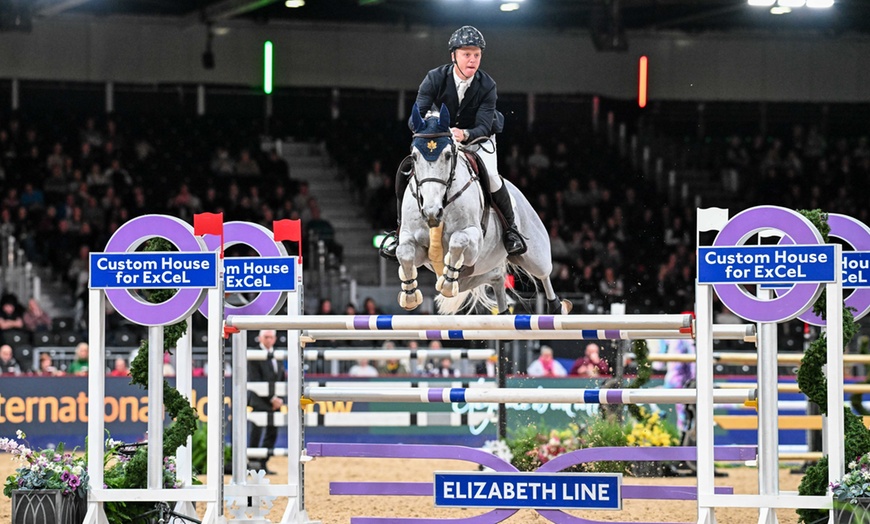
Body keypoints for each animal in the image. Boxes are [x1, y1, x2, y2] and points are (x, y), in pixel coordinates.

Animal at [394, 103, 572, 315]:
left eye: (447, 155)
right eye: (414, 157)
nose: (431, 212)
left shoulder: (474, 243)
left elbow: (458, 240)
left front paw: (447, 285)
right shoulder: (415, 242)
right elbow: (403, 252)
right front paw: (409, 295)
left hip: (534, 255)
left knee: (544, 274)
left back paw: (557, 308)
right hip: (474, 274)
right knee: (496, 277)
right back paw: (503, 311)